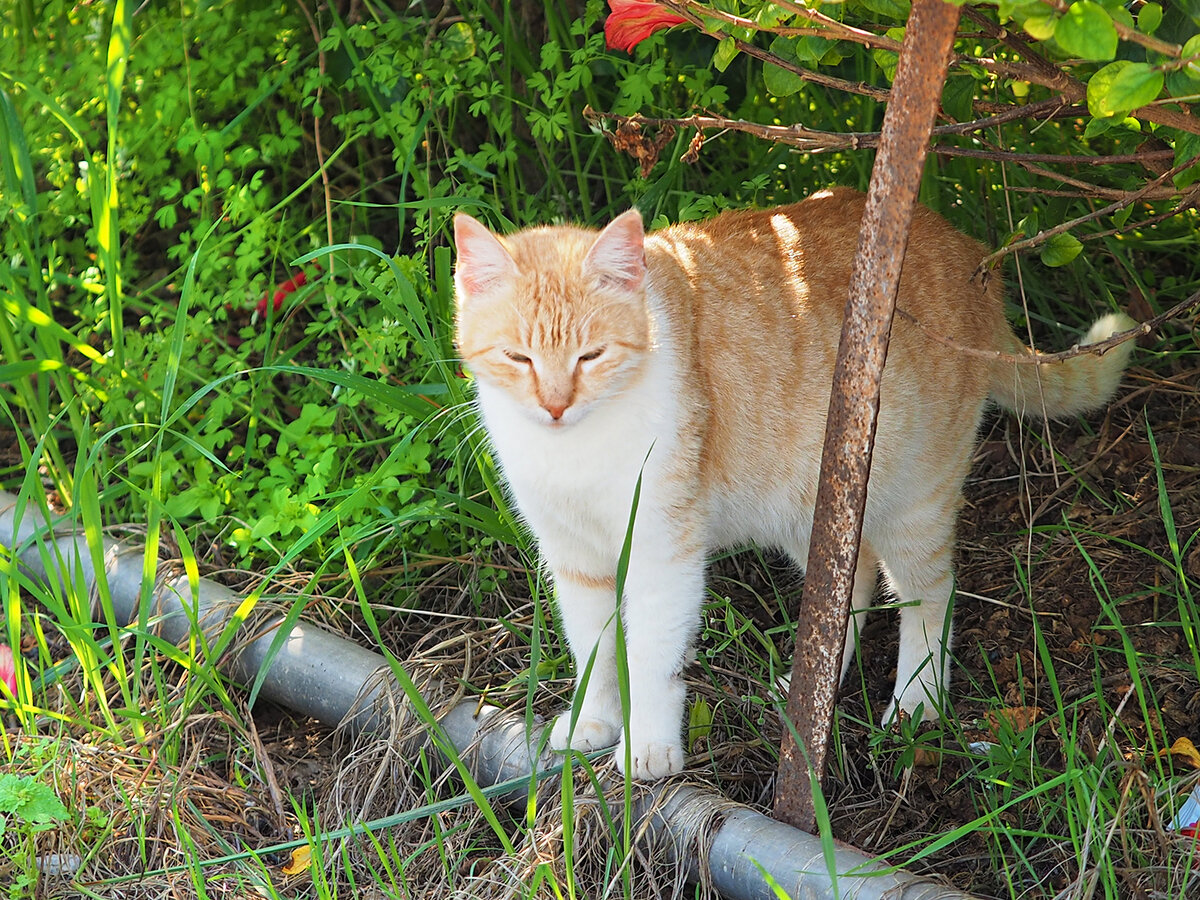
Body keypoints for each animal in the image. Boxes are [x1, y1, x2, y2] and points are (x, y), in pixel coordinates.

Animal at [451, 188, 1132, 782]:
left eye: (590, 356)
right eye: (518, 358)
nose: (555, 406)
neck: (573, 449)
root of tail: (968, 254)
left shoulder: (661, 554)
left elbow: (648, 658)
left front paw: (646, 748)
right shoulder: (575, 559)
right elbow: (592, 650)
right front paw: (593, 725)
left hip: (913, 501)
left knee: (930, 595)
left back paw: (917, 703)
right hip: (810, 510)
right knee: (852, 583)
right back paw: (809, 688)